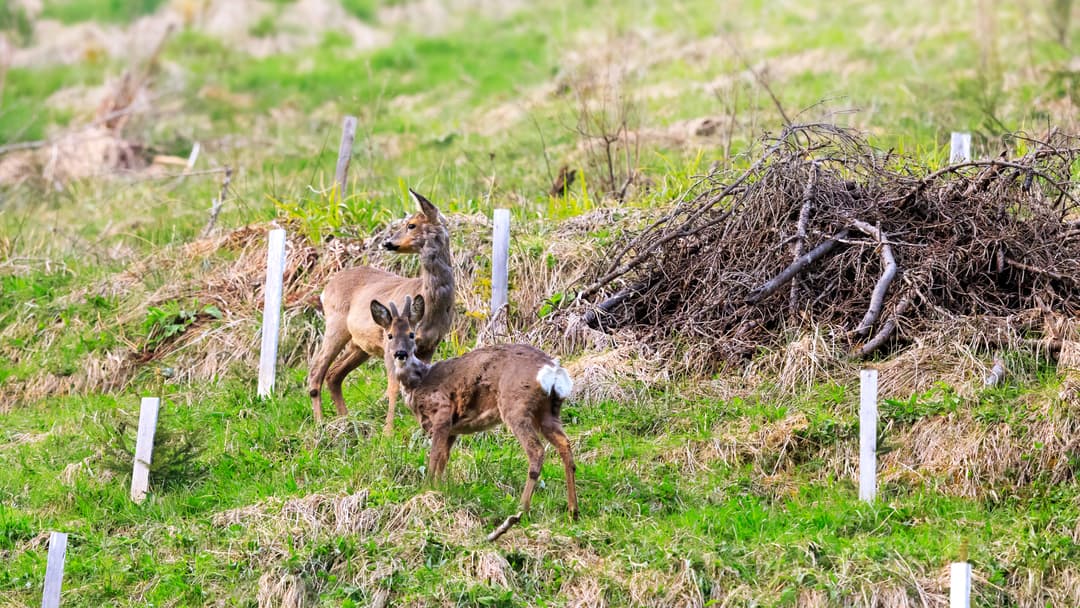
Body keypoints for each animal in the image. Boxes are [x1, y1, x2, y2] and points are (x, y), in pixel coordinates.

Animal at [306, 190, 453, 431]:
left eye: (411, 225)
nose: (388, 242)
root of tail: (325, 289)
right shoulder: (390, 342)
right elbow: (393, 387)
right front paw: (388, 432)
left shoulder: (430, 345)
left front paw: (424, 427)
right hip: (336, 325)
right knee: (316, 369)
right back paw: (321, 425)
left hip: (360, 345)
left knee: (334, 374)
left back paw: (347, 420)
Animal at [369, 295, 578, 537]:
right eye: (390, 335)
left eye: (412, 334)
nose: (400, 354)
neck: (419, 381)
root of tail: (553, 370)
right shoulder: (453, 429)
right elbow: (443, 460)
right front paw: (438, 490)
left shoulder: (442, 412)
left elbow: (433, 457)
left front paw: (426, 490)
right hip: (549, 411)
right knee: (565, 445)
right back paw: (573, 511)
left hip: (516, 405)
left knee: (536, 450)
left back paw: (521, 511)